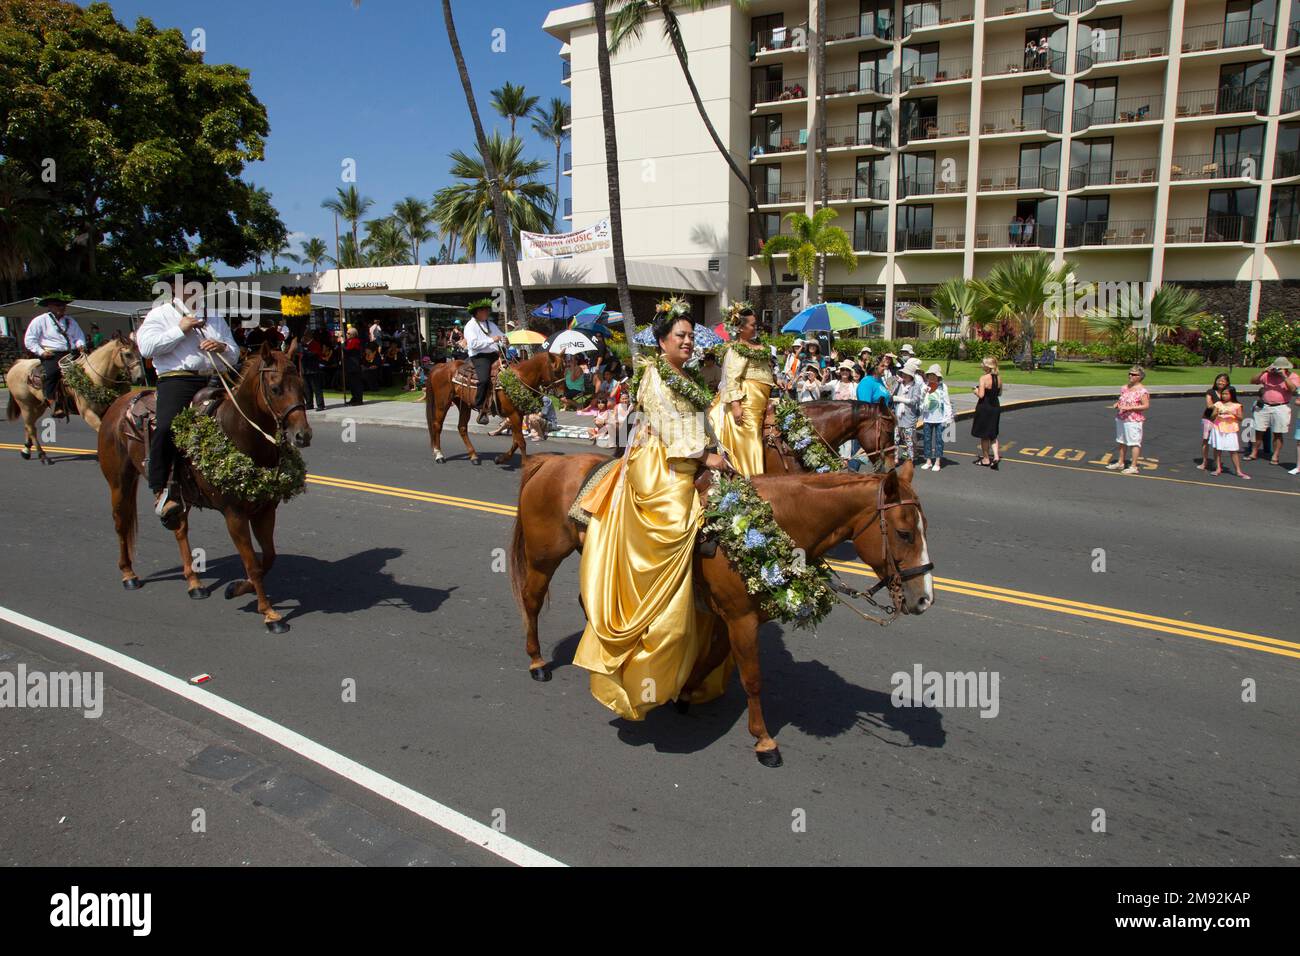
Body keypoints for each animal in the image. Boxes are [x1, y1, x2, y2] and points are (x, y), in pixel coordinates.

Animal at [6, 335, 145, 460]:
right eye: (128, 354)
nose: (140, 378)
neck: (93, 377)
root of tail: (19, 363)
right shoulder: (88, 414)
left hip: (37, 406)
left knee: (28, 426)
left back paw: (26, 450)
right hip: (26, 406)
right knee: (31, 427)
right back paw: (43, 456)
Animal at [96, 340, 314, 632]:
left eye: (302, 385)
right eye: (276, 388)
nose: (303, 435)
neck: (237, 432)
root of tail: (118, 405)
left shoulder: (265, 509)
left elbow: (267, 557)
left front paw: (237, 588)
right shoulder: (234, 515)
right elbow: (253, 563)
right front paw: (270, 614)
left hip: (180, 496)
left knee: (180, 530)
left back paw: (194, 582)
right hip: (119, 482)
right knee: (121, 524)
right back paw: (129, 574)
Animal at [426, 356, 564, 468]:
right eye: (557, 371)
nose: (562, 394)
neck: (520, 378)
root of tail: (441, 366)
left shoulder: (517, 416)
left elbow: (516, 441)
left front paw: (500, 459)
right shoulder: (514, 415)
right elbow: (521, 441)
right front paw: (525, 463)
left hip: (464, 404)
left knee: (462, 427)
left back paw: (474, 456)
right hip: (443, 403)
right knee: (437, 425)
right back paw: (439, 455)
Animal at [509, 455, 935, 770]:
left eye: (924, 528)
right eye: (904, 533)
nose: (923, 600)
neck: (775, 519)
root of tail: (550, 460)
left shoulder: (726, 615)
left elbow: (713, 657)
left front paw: (684, 695)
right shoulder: (741, 618)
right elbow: (753, 679)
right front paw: (764, 741)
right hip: (544, 558)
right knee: (532, 600)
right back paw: (537, 662)